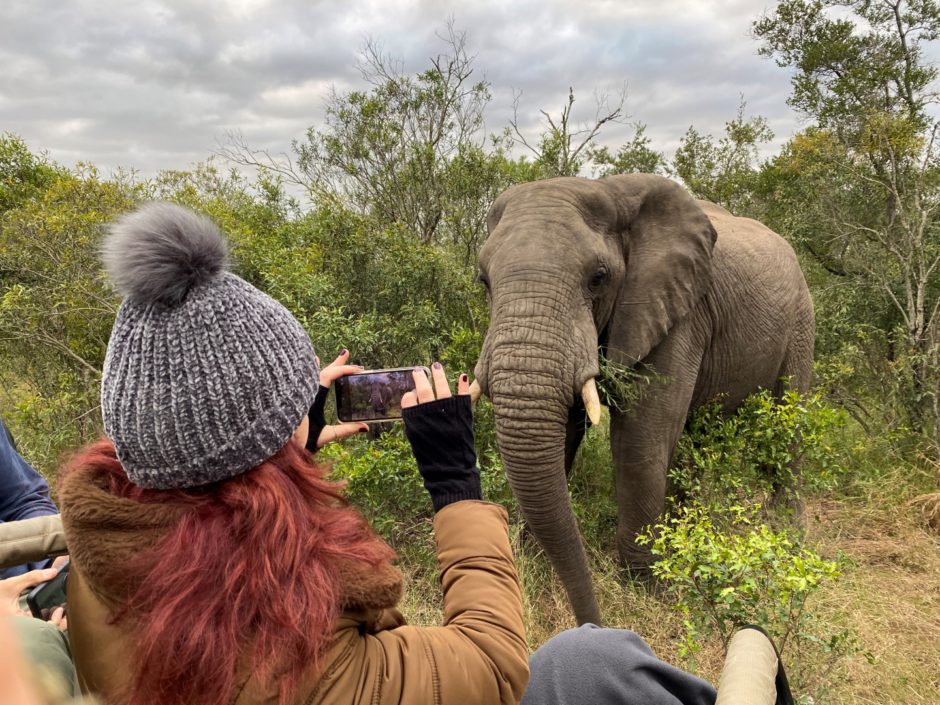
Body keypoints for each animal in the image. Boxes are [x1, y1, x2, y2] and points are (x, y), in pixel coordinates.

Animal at [474, 173, 812, 624]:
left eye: (598, 278)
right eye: (484, 281)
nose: (592, 624)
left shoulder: (680, 313)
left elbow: (639, 438)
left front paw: (645, 585)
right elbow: (565, 432)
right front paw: (531, 557)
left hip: (801, 321)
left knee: (786, 426)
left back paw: (785, 537)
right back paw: (691, 532)